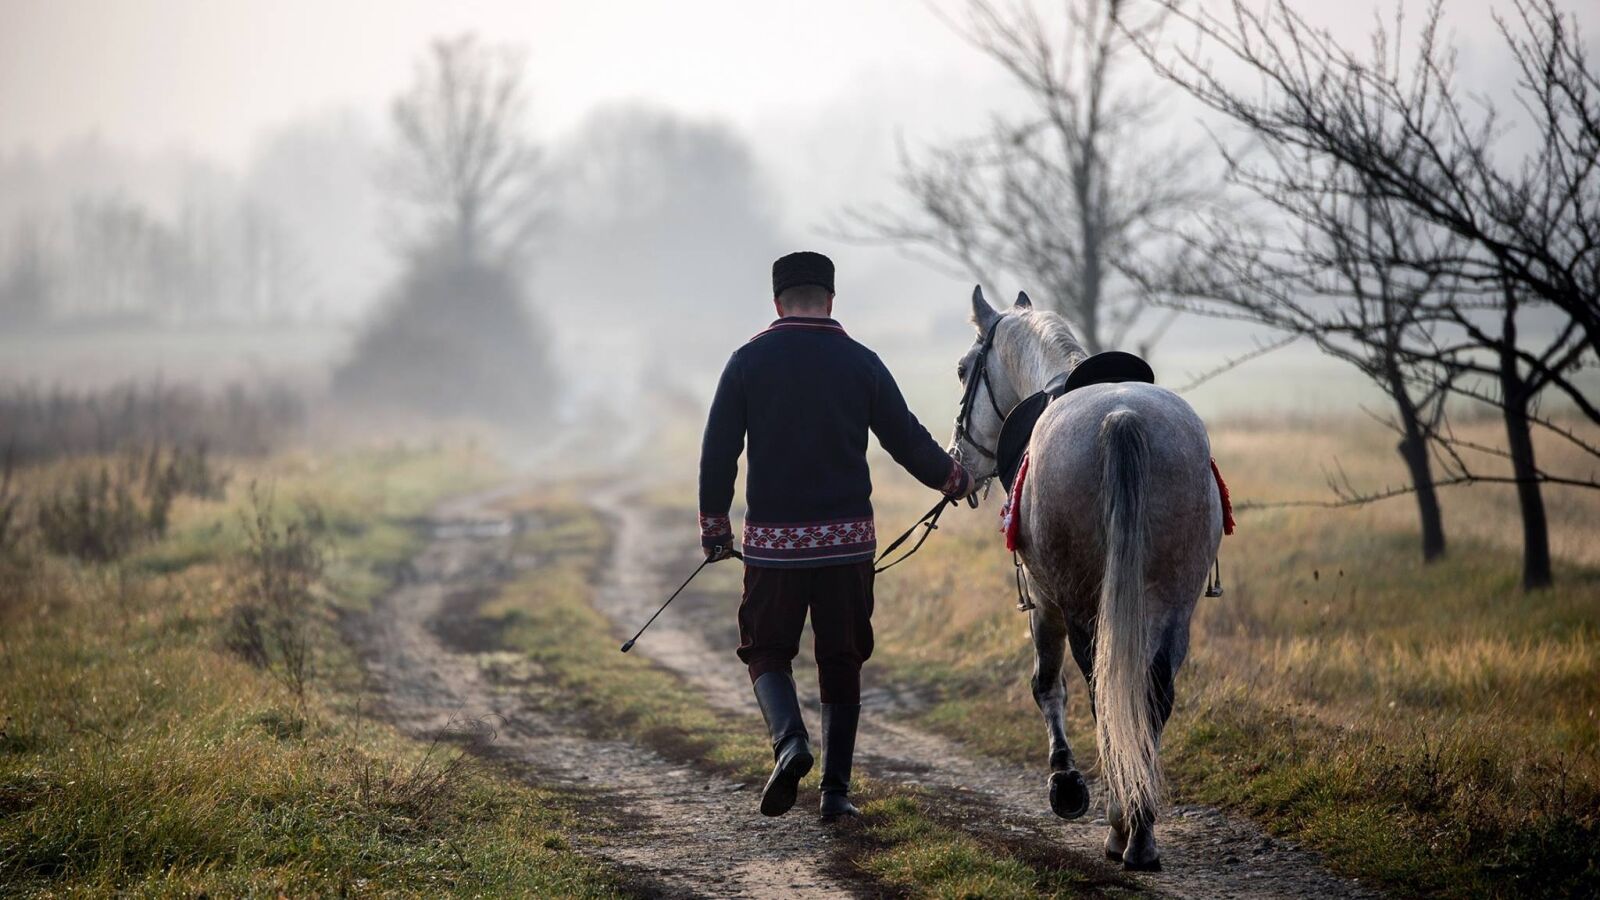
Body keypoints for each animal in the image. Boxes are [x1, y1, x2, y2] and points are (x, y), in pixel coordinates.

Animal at [947, 283, 1222, 864]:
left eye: (962, 371)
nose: (957, 459)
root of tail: (1123, 418)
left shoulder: (1046, 599)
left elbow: (1047, 685)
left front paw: (1066, 784)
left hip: (1079, 603)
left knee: (1101, 691)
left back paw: (1122, 826)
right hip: (1173, 604)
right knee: (1153, 693)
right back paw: (1139, 826)